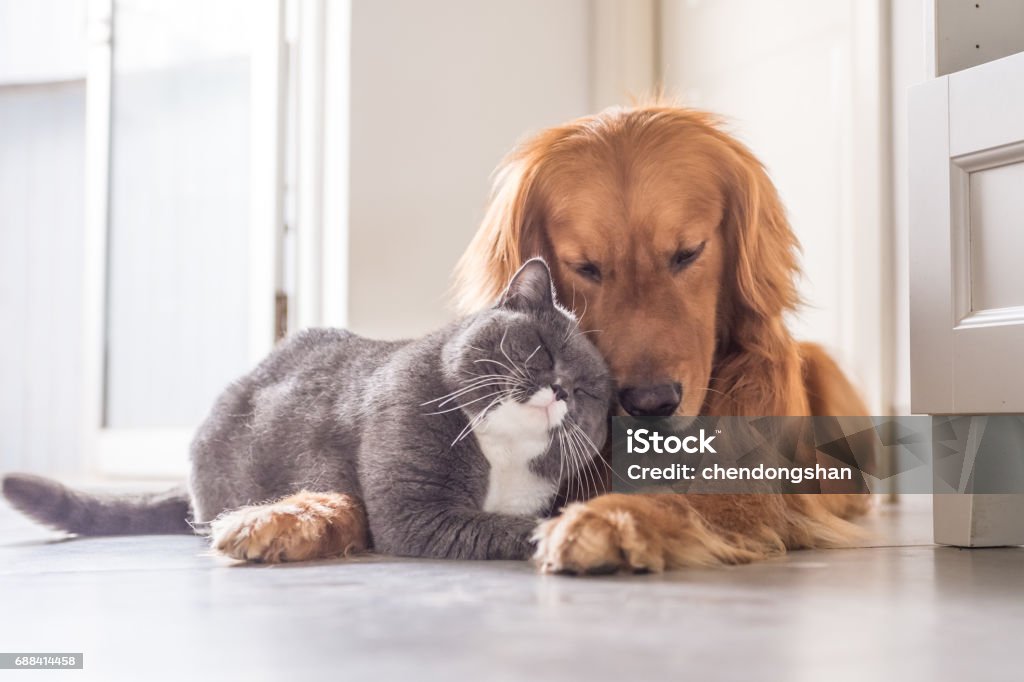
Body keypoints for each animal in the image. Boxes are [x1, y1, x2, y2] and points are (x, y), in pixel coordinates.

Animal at [2, 258, 606, 561]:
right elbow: (506, 526)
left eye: (589, 393)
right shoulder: (415, 511)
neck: (501, 455)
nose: (560, 390)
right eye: (541, 350)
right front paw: (563, 534)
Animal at [456, 104, 872, 573]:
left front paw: (608, 520)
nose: (651, 404)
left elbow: (680, 498)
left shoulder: (751, 491)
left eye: (688, 253)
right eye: (586, 267)